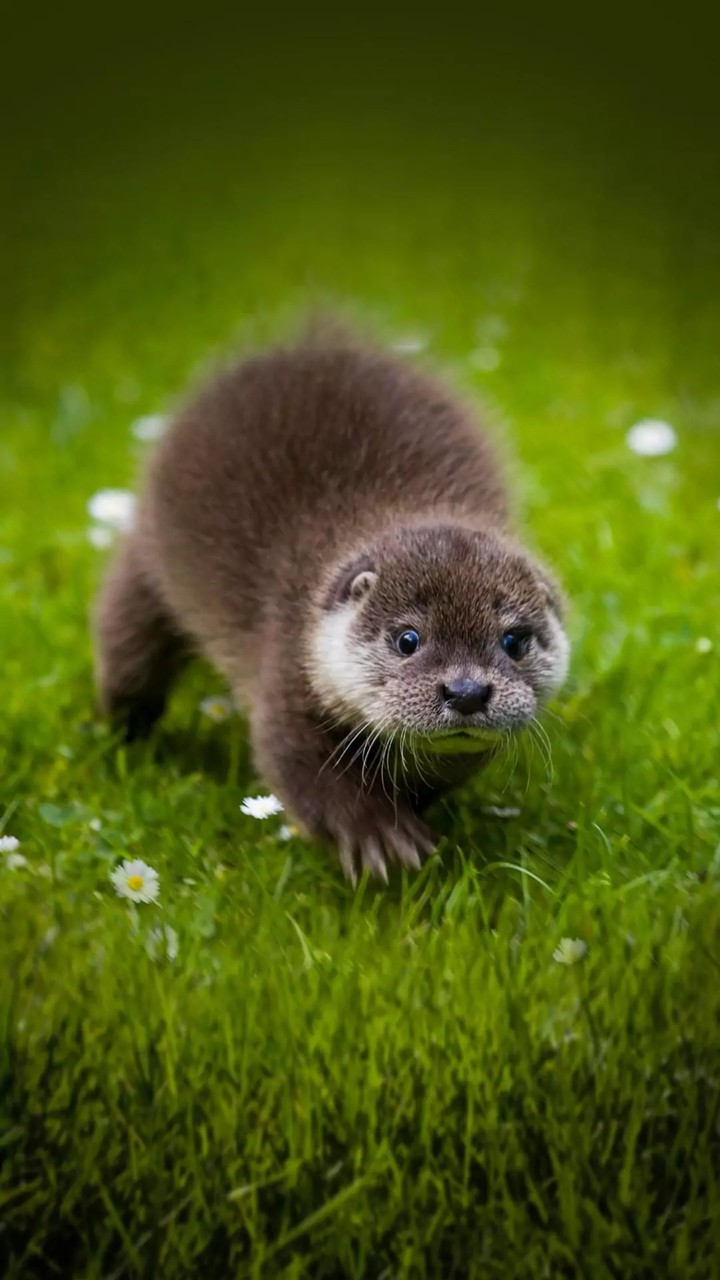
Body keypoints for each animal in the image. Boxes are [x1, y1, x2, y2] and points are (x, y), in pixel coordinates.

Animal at [95, 331, 569, 882]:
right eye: (407, 639)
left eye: (514, 640)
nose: (467, 691)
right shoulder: (287, 670)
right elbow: (303, 771)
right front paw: (380, 837)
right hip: (146, 560)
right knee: (127, 647)